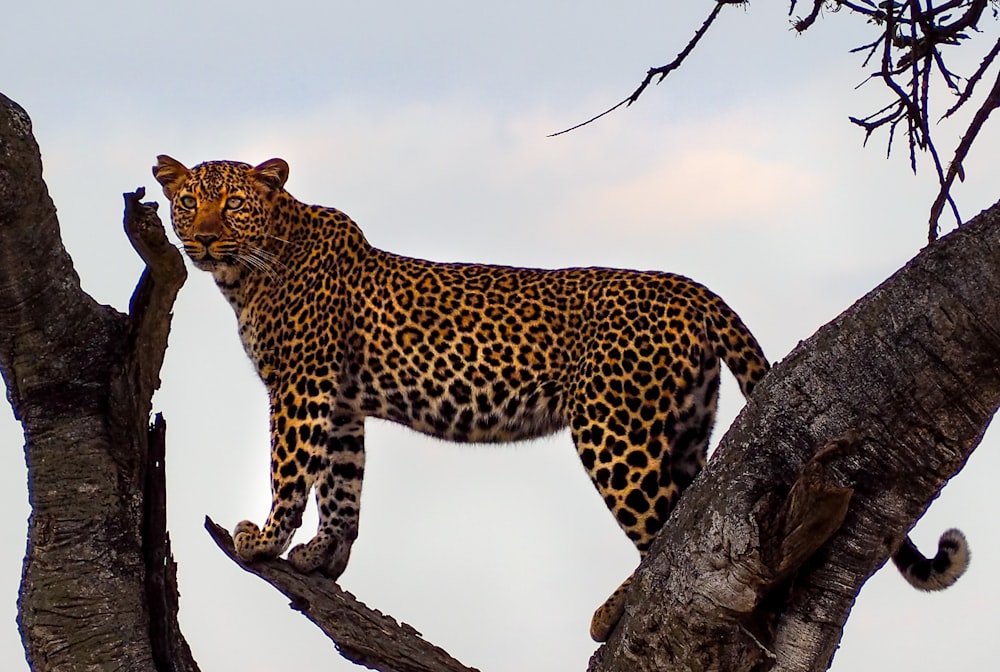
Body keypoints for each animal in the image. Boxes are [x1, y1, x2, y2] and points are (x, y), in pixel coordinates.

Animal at [154, 155, 968, 644]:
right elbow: (344, 482)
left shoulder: (301, 387)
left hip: (615, 430)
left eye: (233, 205)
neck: (252, 271)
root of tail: (694, 288)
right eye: (188, 203)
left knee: (671, 534)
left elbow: (293, 469)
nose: (202, 239)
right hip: (681, 428)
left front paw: (264, 538)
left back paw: (612, 614)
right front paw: (327, 555)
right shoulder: (342, 400)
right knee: (693, 518)